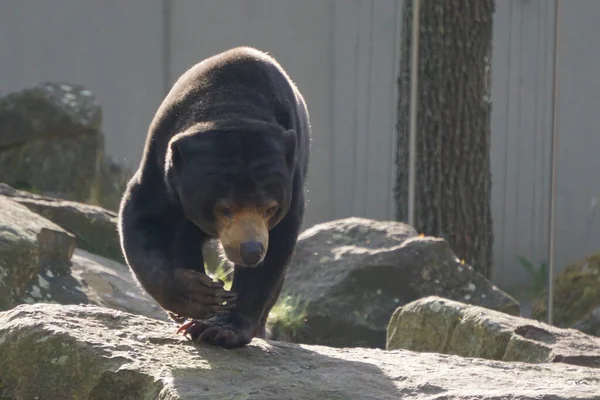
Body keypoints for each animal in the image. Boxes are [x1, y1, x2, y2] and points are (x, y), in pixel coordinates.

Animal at [119, 45, 312, 348]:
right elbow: (142, 218)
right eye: (224, 208)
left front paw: (222, 328)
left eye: (269, 208)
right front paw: (199, 296)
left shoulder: (292, 181)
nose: (251, 250)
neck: (232, 108)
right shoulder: (162, 162)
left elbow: (277, 248)